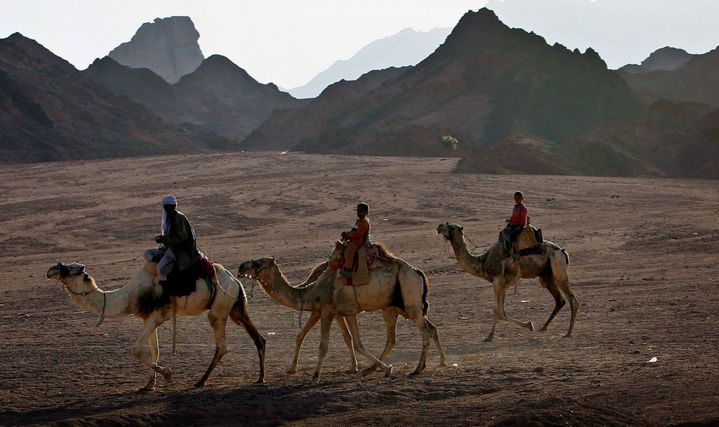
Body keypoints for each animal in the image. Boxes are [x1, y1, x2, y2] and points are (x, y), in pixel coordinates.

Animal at [47, 260, 268, 392]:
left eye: (68, 268)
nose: (51, 269)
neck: (131, 296)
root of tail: (234, 281)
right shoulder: (149, 319)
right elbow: (155, 350)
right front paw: (148, 384)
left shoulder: (156, 316)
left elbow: (136, 349)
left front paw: (167, 374)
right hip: (235, 308)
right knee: (259, 339)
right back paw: (260, 378)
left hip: (219, 308)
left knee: (222, 345)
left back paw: (200, 381)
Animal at [238, 249, 438, 382]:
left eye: (258, 263)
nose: (241, 267)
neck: (311, 290)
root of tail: (418, 272)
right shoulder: (347, 312)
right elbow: (356, 343)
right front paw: (385, 369)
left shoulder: (327, 310)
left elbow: (323, 346)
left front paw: (315, 376)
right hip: (392, 308)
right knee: (396, 338)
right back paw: (379, 368)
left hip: (411, 303)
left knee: (425, 331)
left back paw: (417, 369)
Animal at [434, 224, 580, 342]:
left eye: (452, 227)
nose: (439, 227)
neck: (482, 261)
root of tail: (562, 251)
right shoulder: (504, 285)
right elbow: (501, 311)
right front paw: (528, 325)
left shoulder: (497, 281)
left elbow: (497, 310)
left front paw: (490, 336)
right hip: (547, 276)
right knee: (560, 300)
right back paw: (543, 328)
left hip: (558, 268)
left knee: (572, 300)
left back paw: (568, 333)